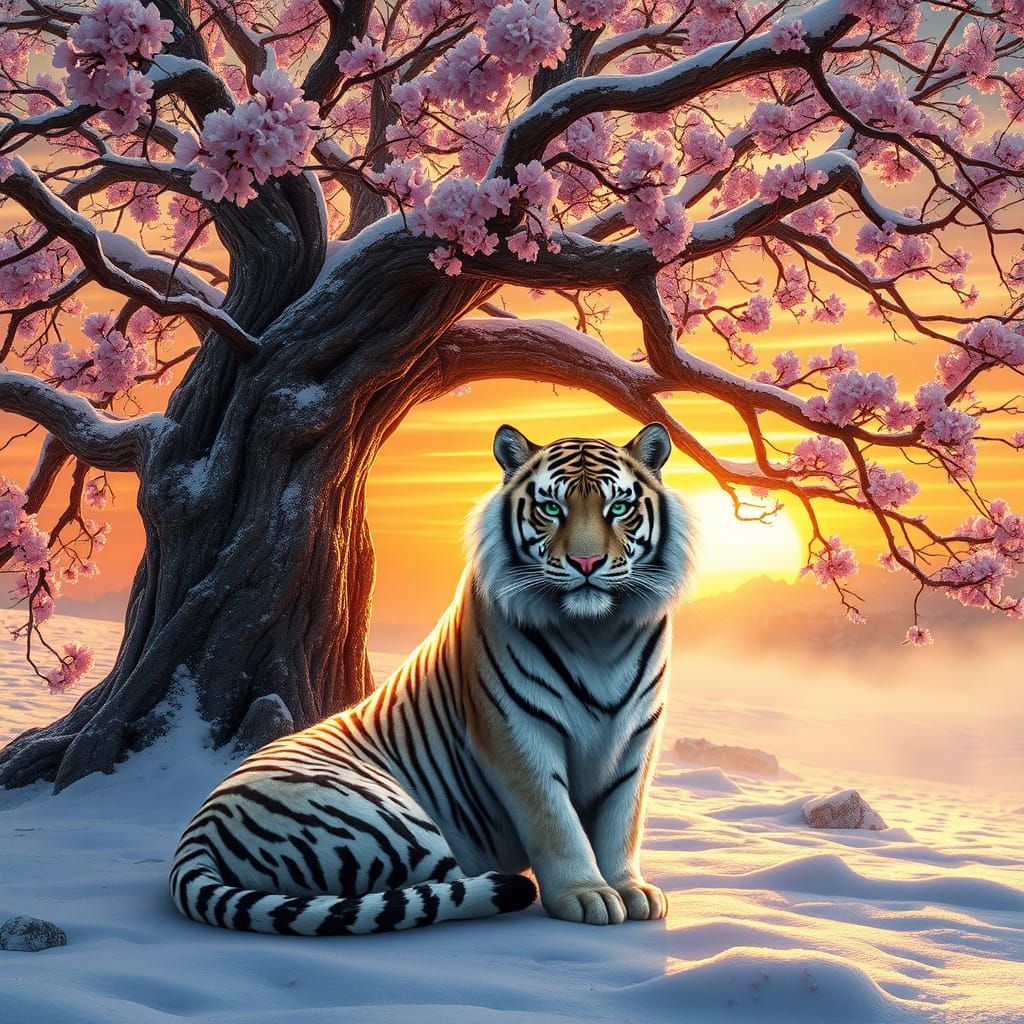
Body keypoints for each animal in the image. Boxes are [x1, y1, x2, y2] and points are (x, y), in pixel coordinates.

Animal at [169, 422, 692, 935]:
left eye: (619, 508)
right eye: (550, 509)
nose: (586, 564)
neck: (596, 634)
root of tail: (196, 835)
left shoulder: (637, 737)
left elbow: (623, 821)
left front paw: (628, 890)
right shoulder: (517, 732)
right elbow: (556, 821)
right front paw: (586, 895)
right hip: (388, 817)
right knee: (445, 886)